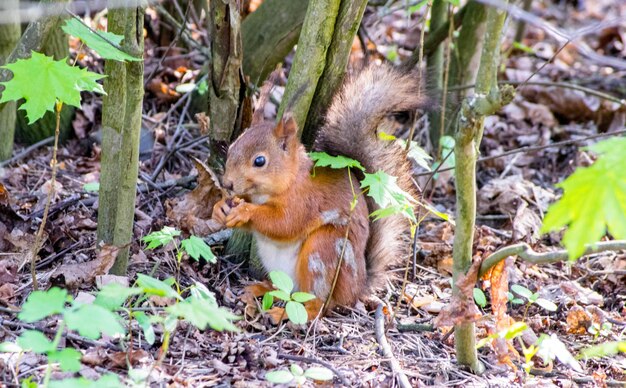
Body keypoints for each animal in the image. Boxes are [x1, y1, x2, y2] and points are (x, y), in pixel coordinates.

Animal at [211, 65, 424, 320]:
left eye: (259, 161)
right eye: (232, 147)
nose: (227, 183)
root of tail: (356, 290)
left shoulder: (306, 201)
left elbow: (284, 224)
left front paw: (246, 211)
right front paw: (220, 208)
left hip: (323, 251)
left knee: (317, 305)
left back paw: (282, 313)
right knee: (286, 289)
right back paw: (259, 288)